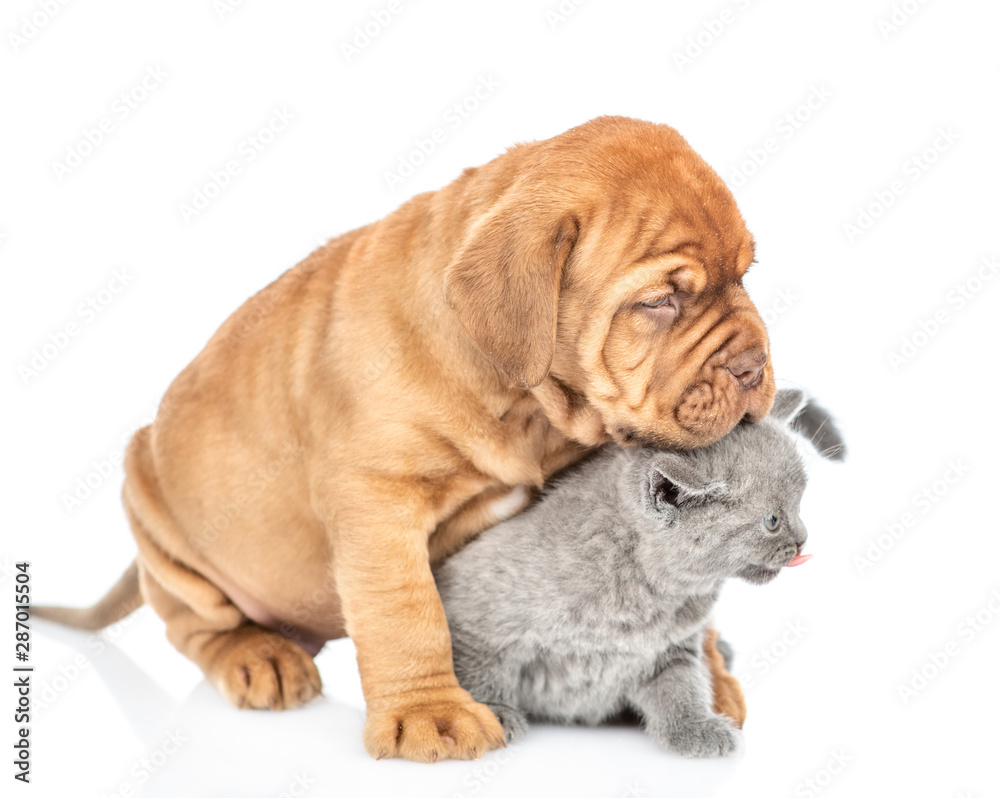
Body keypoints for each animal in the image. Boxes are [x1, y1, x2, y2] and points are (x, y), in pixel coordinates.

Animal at [37, 117, 772, 764]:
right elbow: (407, 614)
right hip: (162, 530)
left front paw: (708, 678)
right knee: (196, 624)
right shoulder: (377, 501)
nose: (753, 366)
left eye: (745, 275)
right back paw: (257, 657)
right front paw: (431, 715)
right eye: (660, 302)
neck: (524, 405)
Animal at [434, 390, 840, 760]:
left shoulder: (672, 648)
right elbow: (479, 667)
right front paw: (495, 714)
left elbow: (681, 686)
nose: (803, 540)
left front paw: (695, 728)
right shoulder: (475, 612)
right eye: (772, 520)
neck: (650, 596)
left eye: (799, 506)